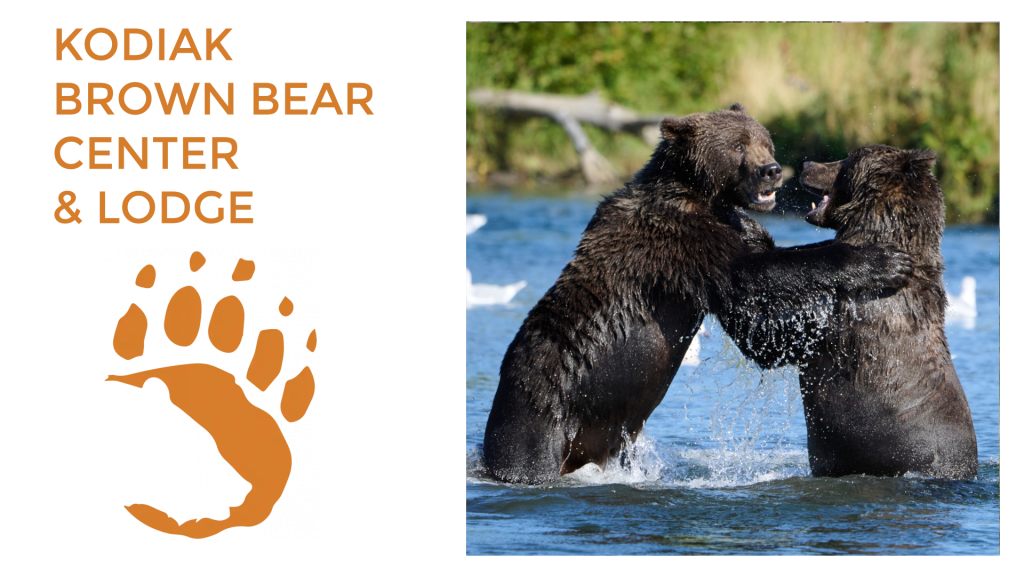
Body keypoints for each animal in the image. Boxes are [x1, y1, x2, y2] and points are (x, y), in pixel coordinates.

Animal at [482, 104, 915, 484]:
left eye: (766, 141)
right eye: (738, 146)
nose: (772, 170)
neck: (702, 195)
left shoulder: (724, 237)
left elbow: (759, 325)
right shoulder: (680, 241)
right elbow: (753, 275)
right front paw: (884, 259)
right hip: (538, 417)